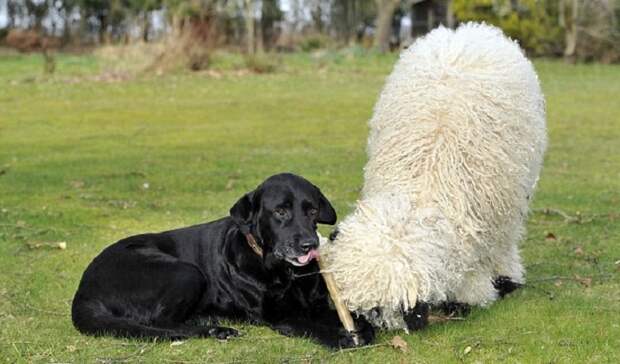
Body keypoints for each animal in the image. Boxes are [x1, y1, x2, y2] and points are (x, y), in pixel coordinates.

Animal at [71, 174, 372, 350]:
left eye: (311, 210)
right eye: (280, 211)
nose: (309, 244)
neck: (287, 274)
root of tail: (84, 290)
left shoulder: (316, 305)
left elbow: (355, 318)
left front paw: (363, 329)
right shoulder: (278, 315)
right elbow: (311, 327)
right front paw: (340, 337)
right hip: (186, 271)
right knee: (161, 322)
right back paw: (216, 329)